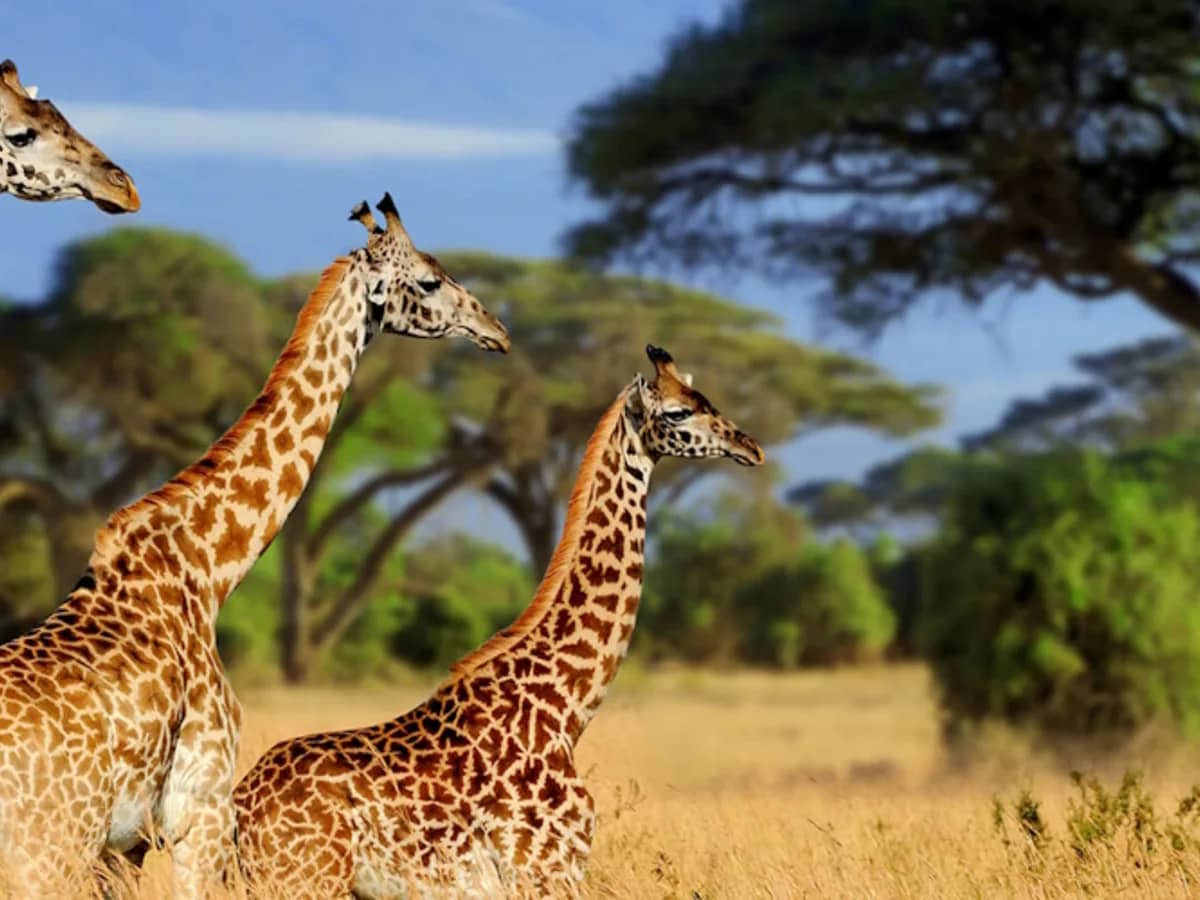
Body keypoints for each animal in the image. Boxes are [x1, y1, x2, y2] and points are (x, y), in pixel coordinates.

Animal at [0, 194, 509, 897]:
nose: (497, 329)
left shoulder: (125, 844)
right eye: (430, 281)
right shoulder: (199, 809)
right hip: (46, 847)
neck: (208, 569)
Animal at [234, 344, 765, 898]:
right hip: (304, 881)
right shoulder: (546, 871)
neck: (567, 708)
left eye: (705, 398)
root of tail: (239, 810)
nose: (749, 446)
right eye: (679, 412)